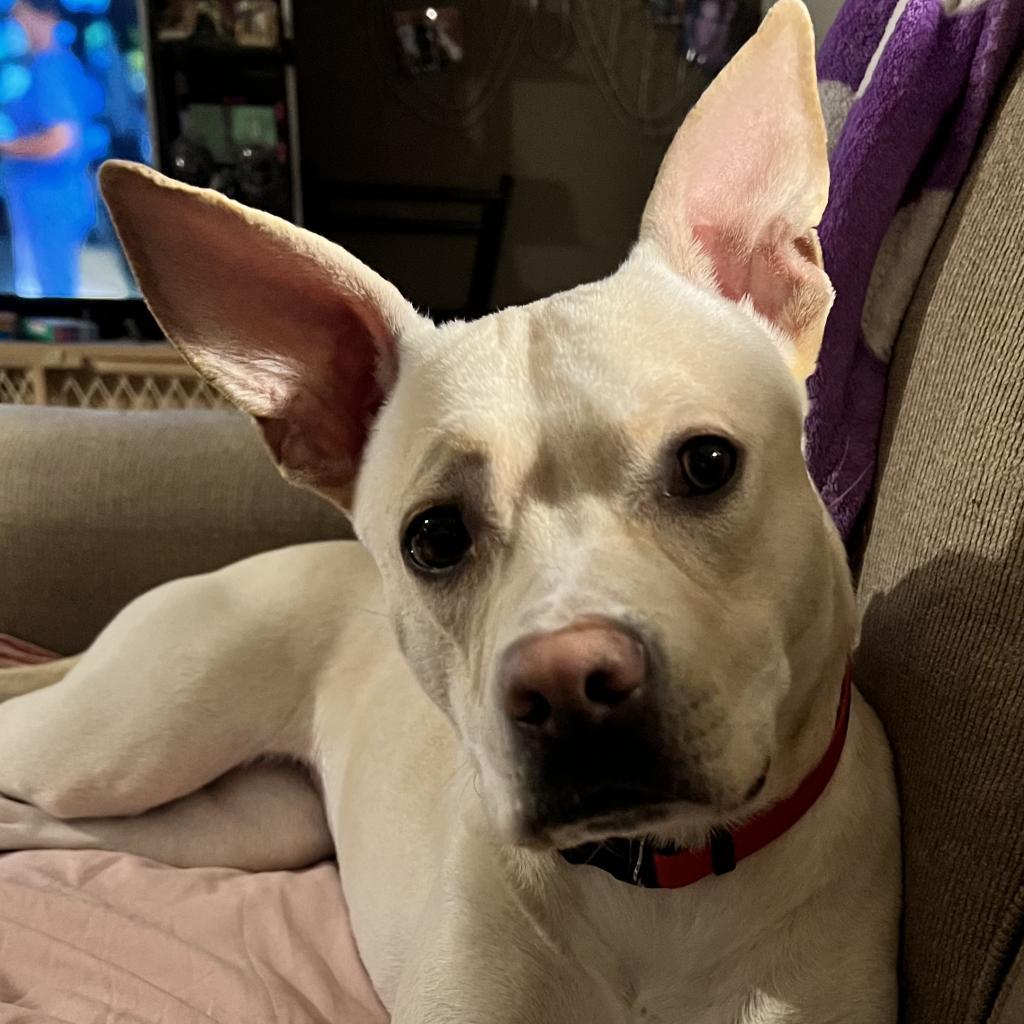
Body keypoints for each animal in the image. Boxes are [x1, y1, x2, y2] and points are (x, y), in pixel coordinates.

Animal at [0, 4, 897, 1019]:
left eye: (707, 464)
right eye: (434, 537)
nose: (566, 687)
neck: (658, 900)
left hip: (233, 824)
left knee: (46, 826)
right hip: (115, 746)